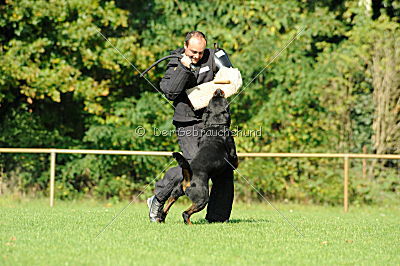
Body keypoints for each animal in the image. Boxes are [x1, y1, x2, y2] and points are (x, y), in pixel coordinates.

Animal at [159, 89, 239, 224]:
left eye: (211, 100)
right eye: (225, 101)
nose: (218, 91)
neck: (215, 125)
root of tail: (188, 177)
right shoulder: (232, 149)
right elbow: (234, 158)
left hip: (177, 191)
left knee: (168, 203)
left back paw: (160, 217)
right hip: (202, 197)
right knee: (185, 213)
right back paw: (190, 224)